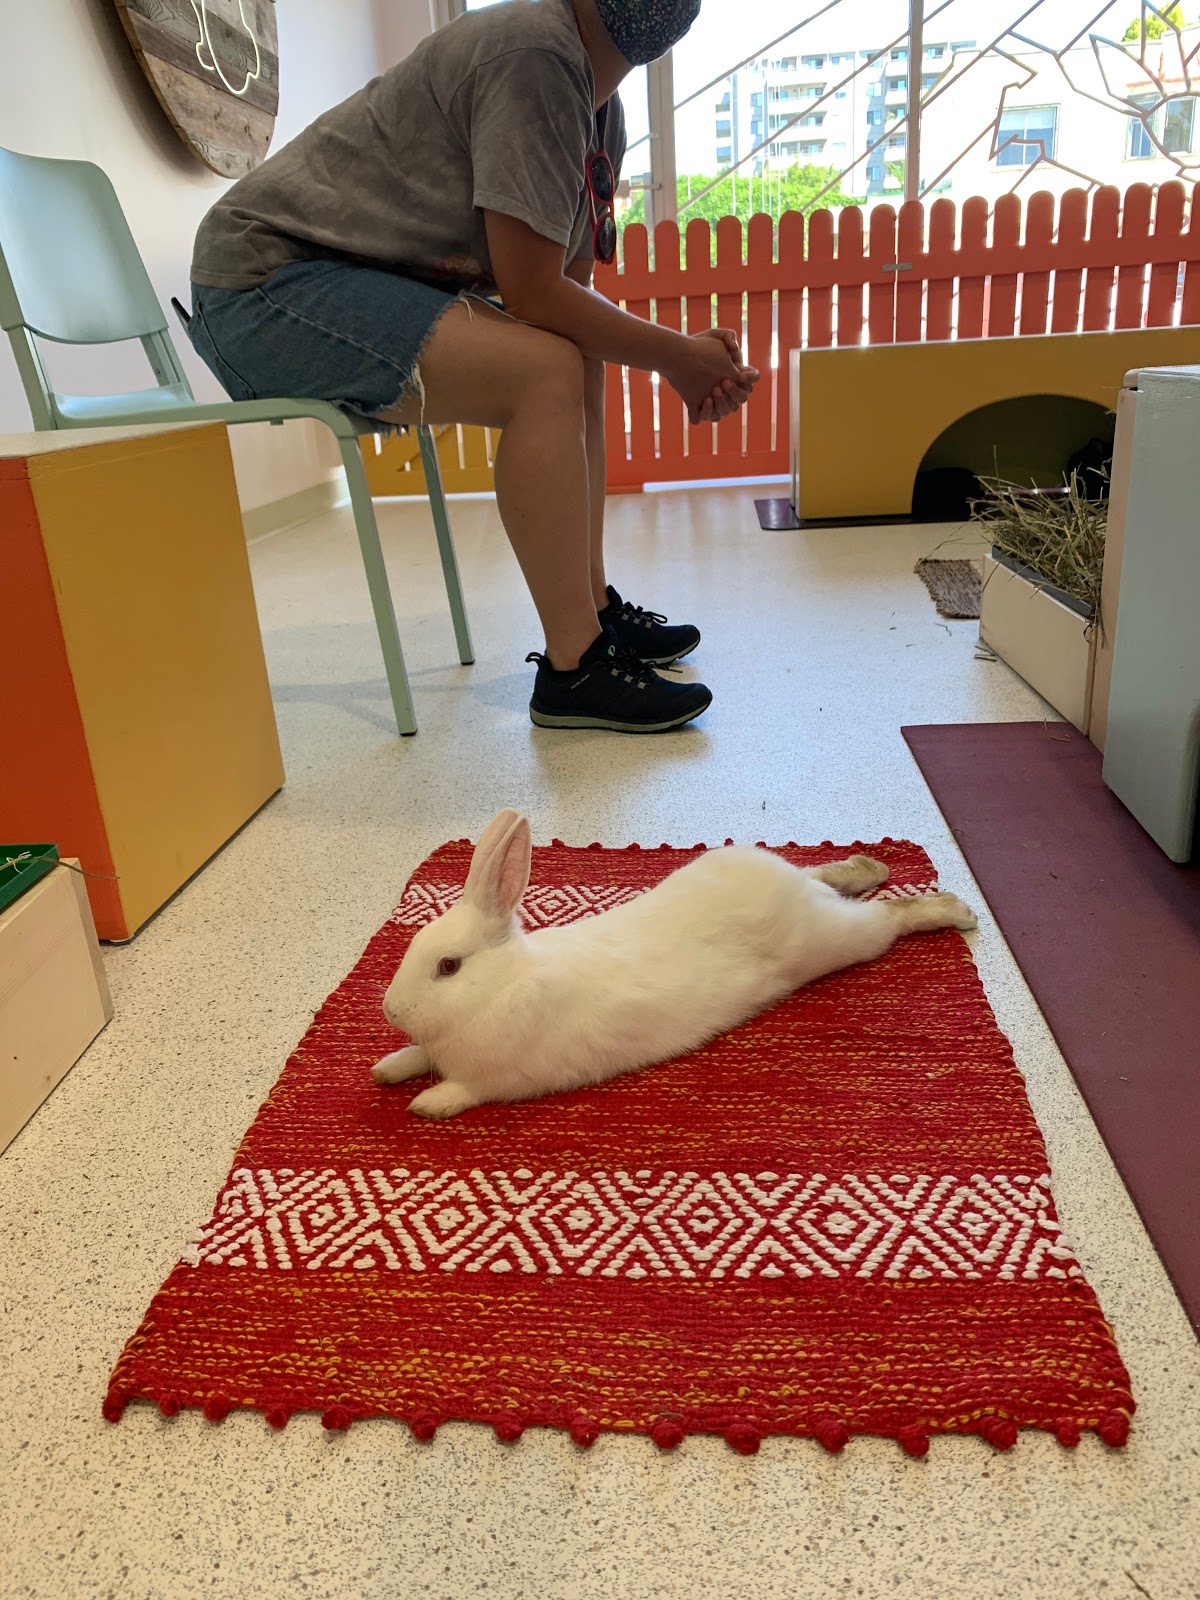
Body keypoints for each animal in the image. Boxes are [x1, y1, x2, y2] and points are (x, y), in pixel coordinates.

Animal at [372, 808, 977, 1119]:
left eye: (448, 967)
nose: (392, 1010)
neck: (500, 987)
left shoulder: (498, 1079)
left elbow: (461, 1091)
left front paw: (424, 1104)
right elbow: (415, 1057)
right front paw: (387, 1068)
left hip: (836, 943)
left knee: (889, 918)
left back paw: (953, 909)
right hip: (807, 894)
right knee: (829, 877)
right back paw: (869, 866)